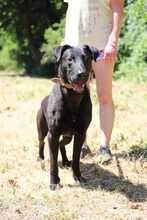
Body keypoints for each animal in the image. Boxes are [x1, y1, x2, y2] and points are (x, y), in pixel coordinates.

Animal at [36, 44, 99, 189]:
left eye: (86, 58)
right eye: (70, 59)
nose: (82, 74)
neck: (73, 96)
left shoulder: (80, 134)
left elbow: (76, 158)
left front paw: (78, 177)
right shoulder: (53, 135)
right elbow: (53, 162)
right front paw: (54, 182)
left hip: (68, 135)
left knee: (62, 144)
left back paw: (65, 161)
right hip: (42, 129)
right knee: (41, 142)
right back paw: (40, 158)